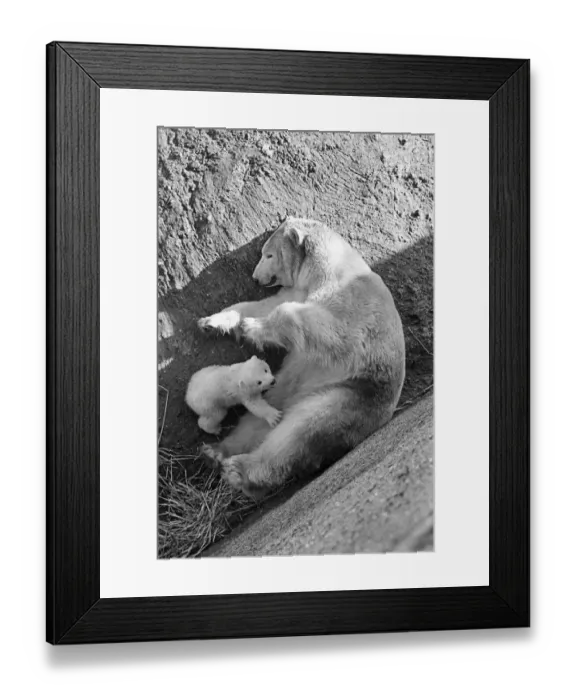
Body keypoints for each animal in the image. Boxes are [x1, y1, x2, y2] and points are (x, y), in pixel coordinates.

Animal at [197, 217, 406, 499]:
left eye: (268, 254)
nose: (255, 277)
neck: (332, 267)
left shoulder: (354, 305)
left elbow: (325, 325)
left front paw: (252, 327)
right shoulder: (299, 289)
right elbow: (262, 305)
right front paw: (213, 322)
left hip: (350, 396)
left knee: (301, 430)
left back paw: (239, 469)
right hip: (288, 390)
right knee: (261, 417)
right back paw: (215, 451)